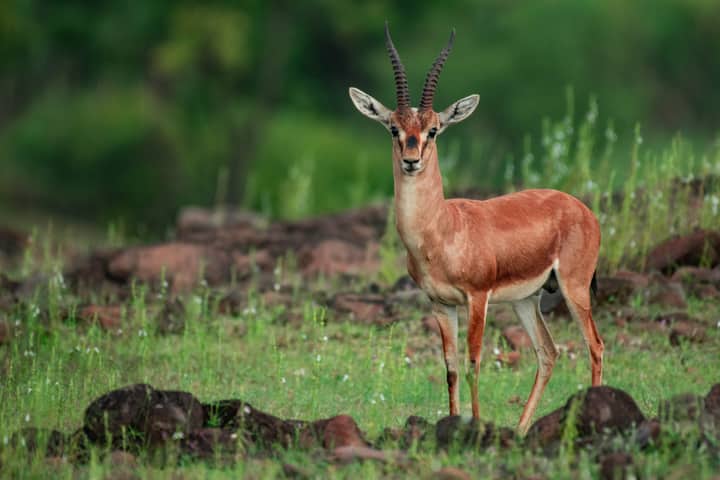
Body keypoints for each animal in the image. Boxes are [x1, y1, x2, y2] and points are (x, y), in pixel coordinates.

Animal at [348, 24, 604, 434]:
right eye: (393, 128)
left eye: (434, 130)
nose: (411, 160)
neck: (441, 231)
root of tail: (582, 209)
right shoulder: (440, 304)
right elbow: (451, 368)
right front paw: (453, 423)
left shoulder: (477, 297)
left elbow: (473, 364)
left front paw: (476, 425)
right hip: (526, 299)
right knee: (547, 353)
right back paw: (520, 430)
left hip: (574, 287)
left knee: (594, 345)